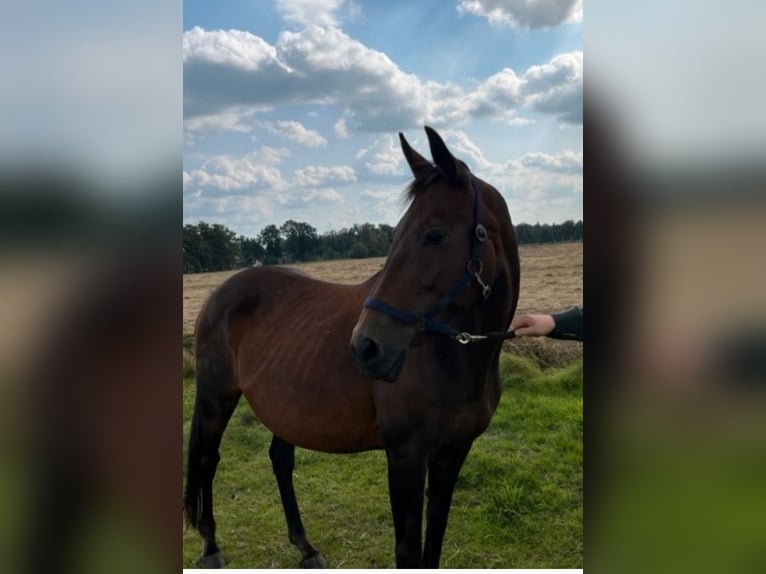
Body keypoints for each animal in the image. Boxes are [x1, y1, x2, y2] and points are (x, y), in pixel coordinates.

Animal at [184, 127, 520, 572]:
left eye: (434, 234)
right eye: (395, 235)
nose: (366, 346)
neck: (457, 360)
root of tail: (218, 293)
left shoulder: (453, 455)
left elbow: (433, 545)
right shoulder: (406, 458)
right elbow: (408, 552)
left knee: (280, 460)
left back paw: (306, 548)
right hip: (215, 398)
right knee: (207, 461)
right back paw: (210, 547)